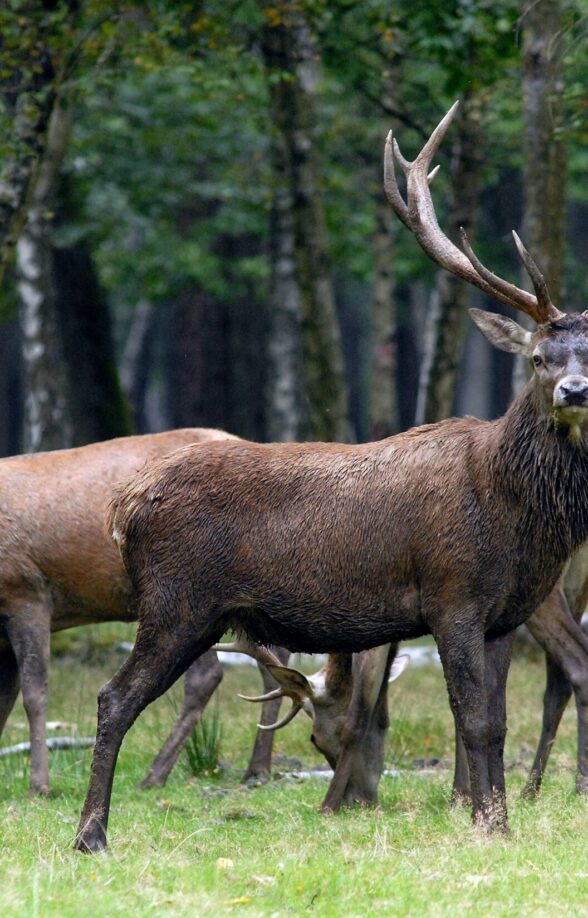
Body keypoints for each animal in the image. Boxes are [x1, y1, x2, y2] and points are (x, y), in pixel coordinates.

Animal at [75, 101, 588, 853]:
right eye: (539, 357)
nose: (575, 390)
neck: (517, 516)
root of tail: (126, 506)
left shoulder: (503, 615)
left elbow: (490, 725)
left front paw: (495, 823)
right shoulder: (453, 594)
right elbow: (474, 719)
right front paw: (486, 825)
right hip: (174, 601)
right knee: (114, 697)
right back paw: (91, 835)